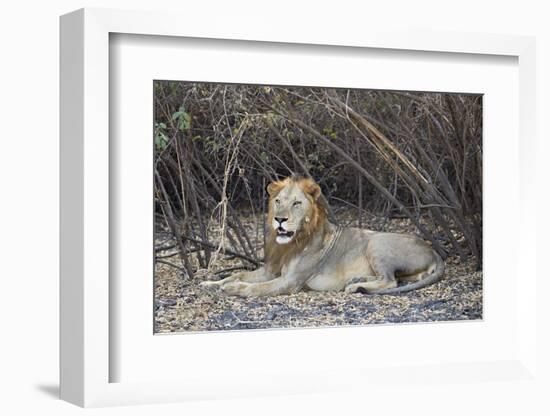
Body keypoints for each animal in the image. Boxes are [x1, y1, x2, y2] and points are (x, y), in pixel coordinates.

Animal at [201, 175, 446, 296]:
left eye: (296, 203)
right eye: (278, 201)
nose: (279, 219)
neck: (291, 243)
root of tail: (434, 251)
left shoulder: (291, 281)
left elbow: (255, 287)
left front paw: (232, 289)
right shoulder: (270, 270)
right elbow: (238, 274)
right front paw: (211, 283)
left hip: (376, 243)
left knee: (390, 281)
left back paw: (354, 287)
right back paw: (357, 280)